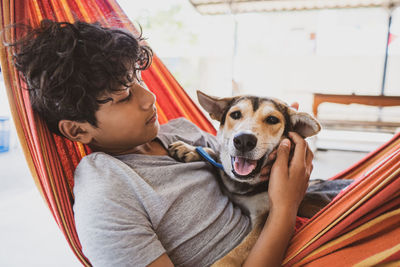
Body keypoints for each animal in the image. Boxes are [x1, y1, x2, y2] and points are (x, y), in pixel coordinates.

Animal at [168, 91, 322, 266]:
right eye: (235, 114)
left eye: (272, 119)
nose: (244, 140)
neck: (242, 184)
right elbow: (215, 156)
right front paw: (190, 149)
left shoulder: (265, 219)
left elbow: (240, 249)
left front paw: (223, 263)